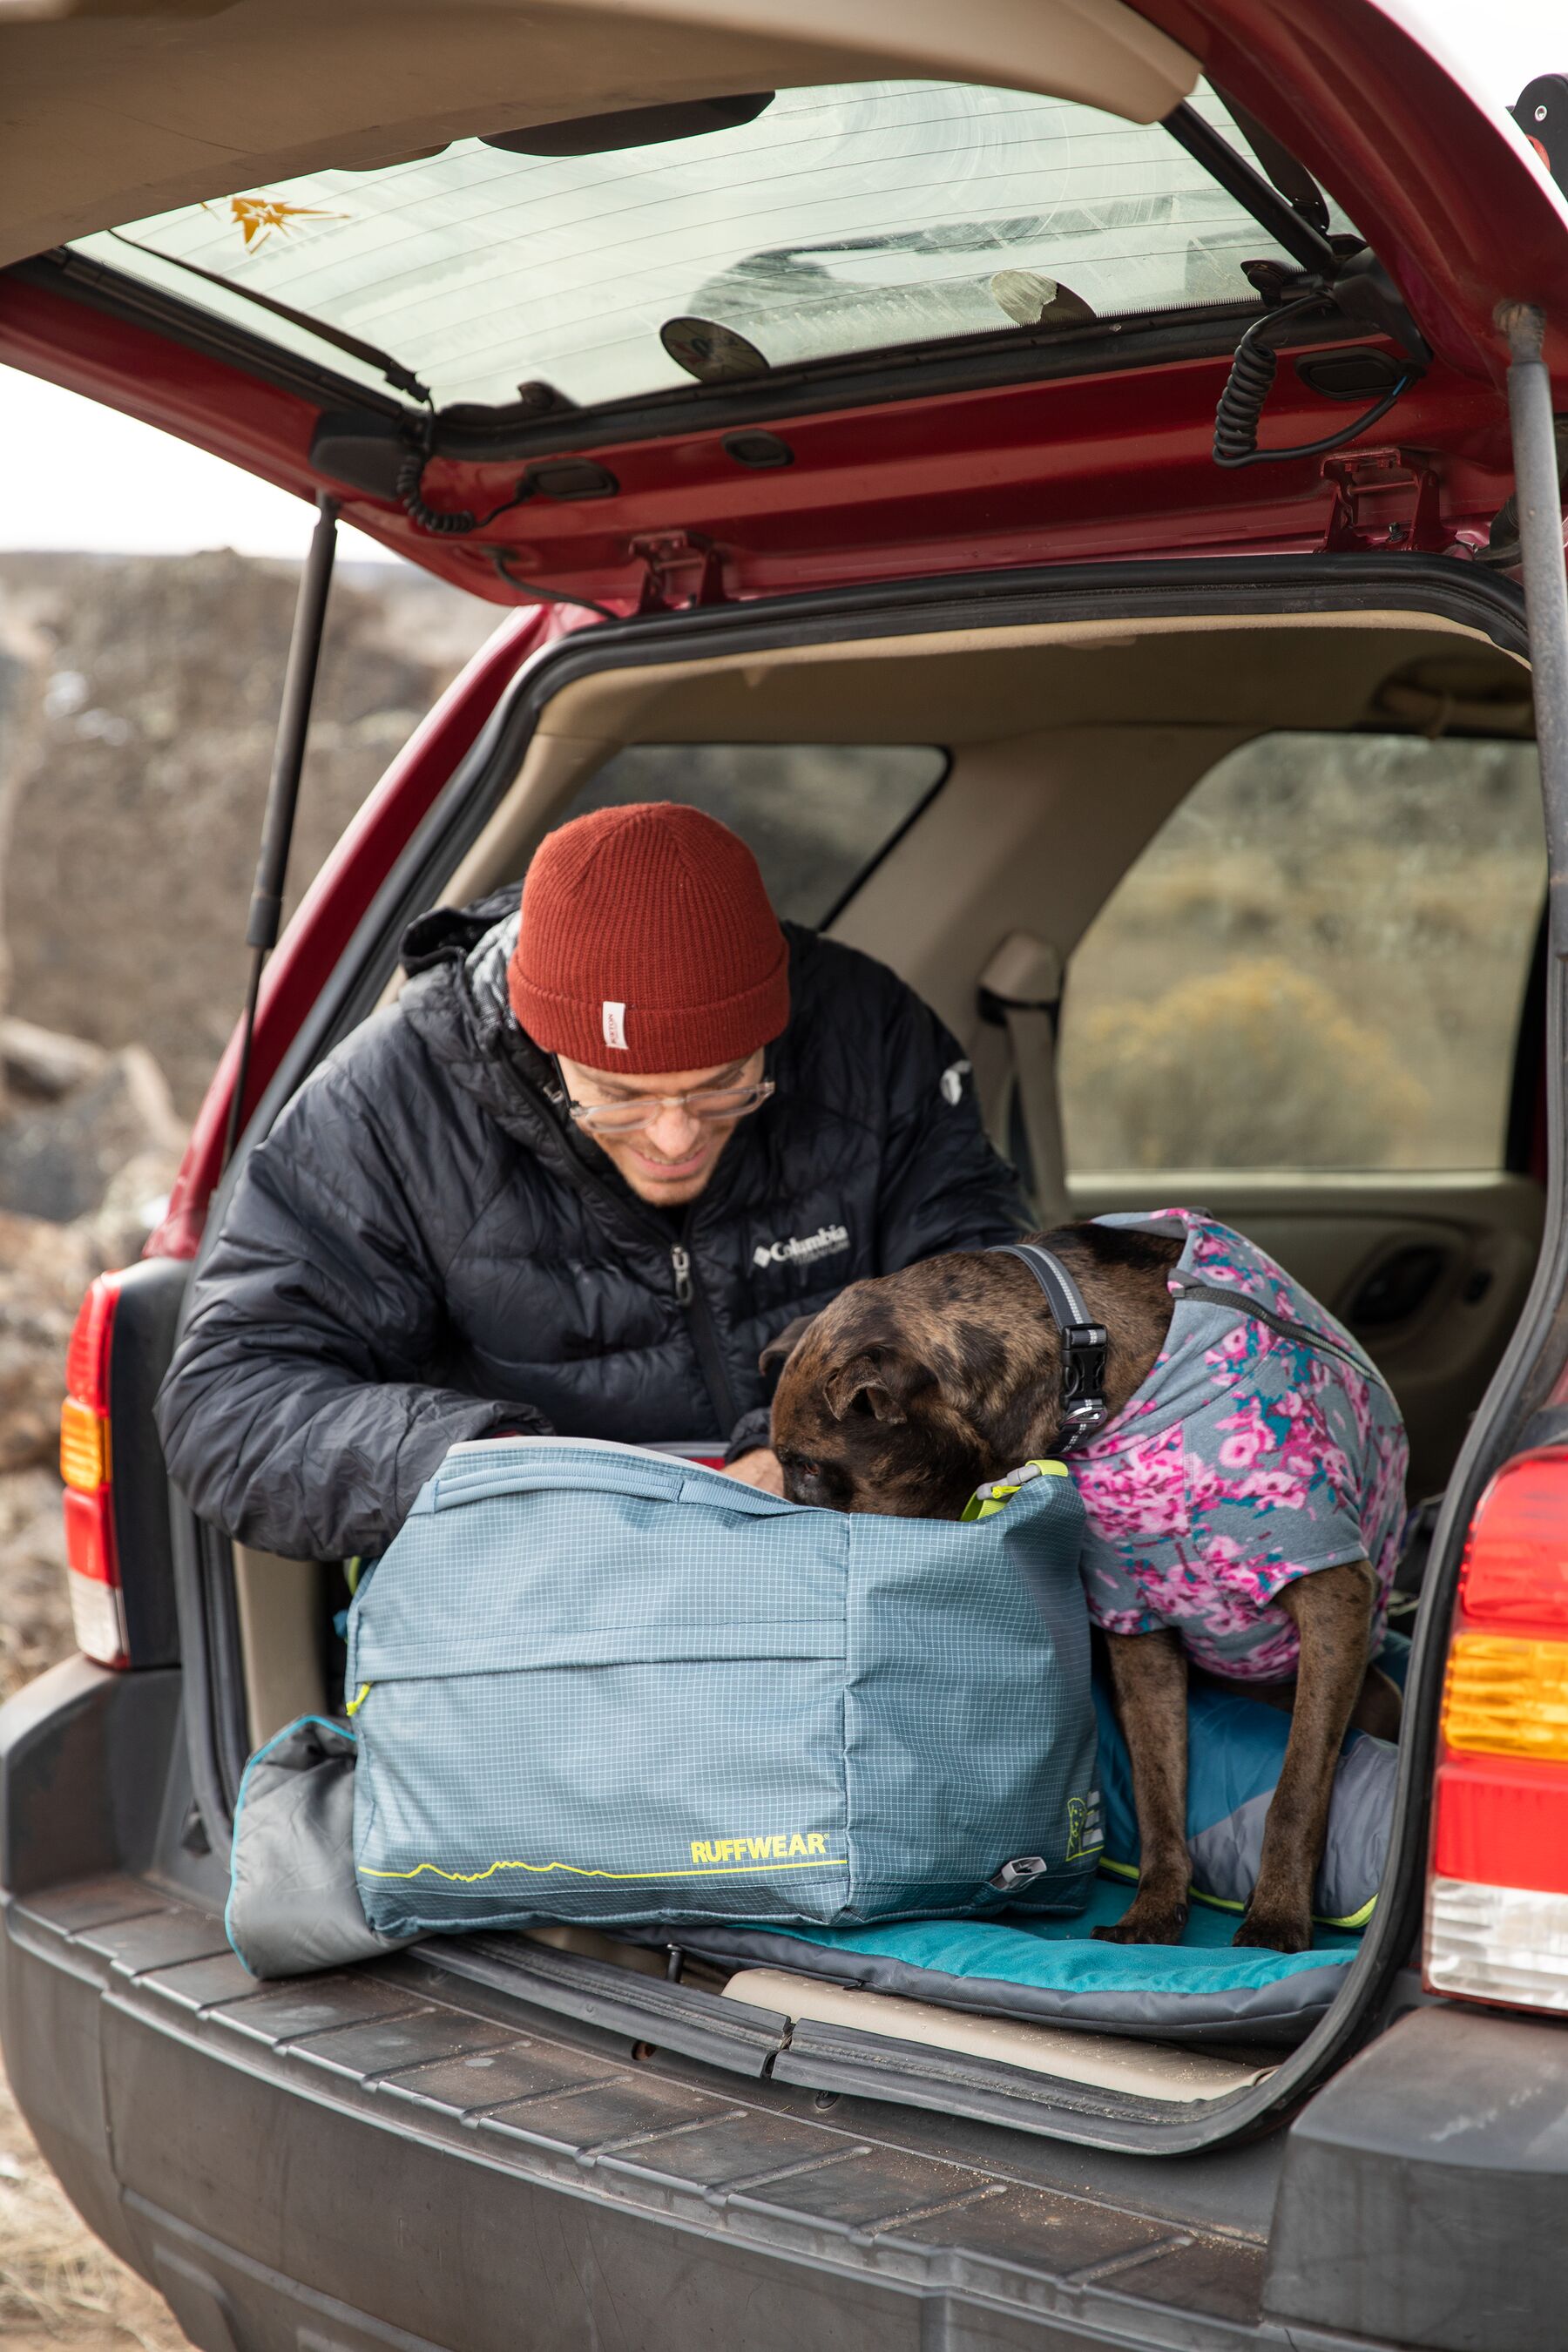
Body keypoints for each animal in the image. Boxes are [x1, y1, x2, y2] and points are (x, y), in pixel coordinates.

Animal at [766, 1223, 1401, 1957]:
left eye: (810, 1467)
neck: (1089, 1363)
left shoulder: (1331, 1593)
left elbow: (1296, 1787)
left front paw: (1275, 1920)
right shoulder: (1139, 1628)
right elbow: (1158, 1791)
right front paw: (1155, 1912)